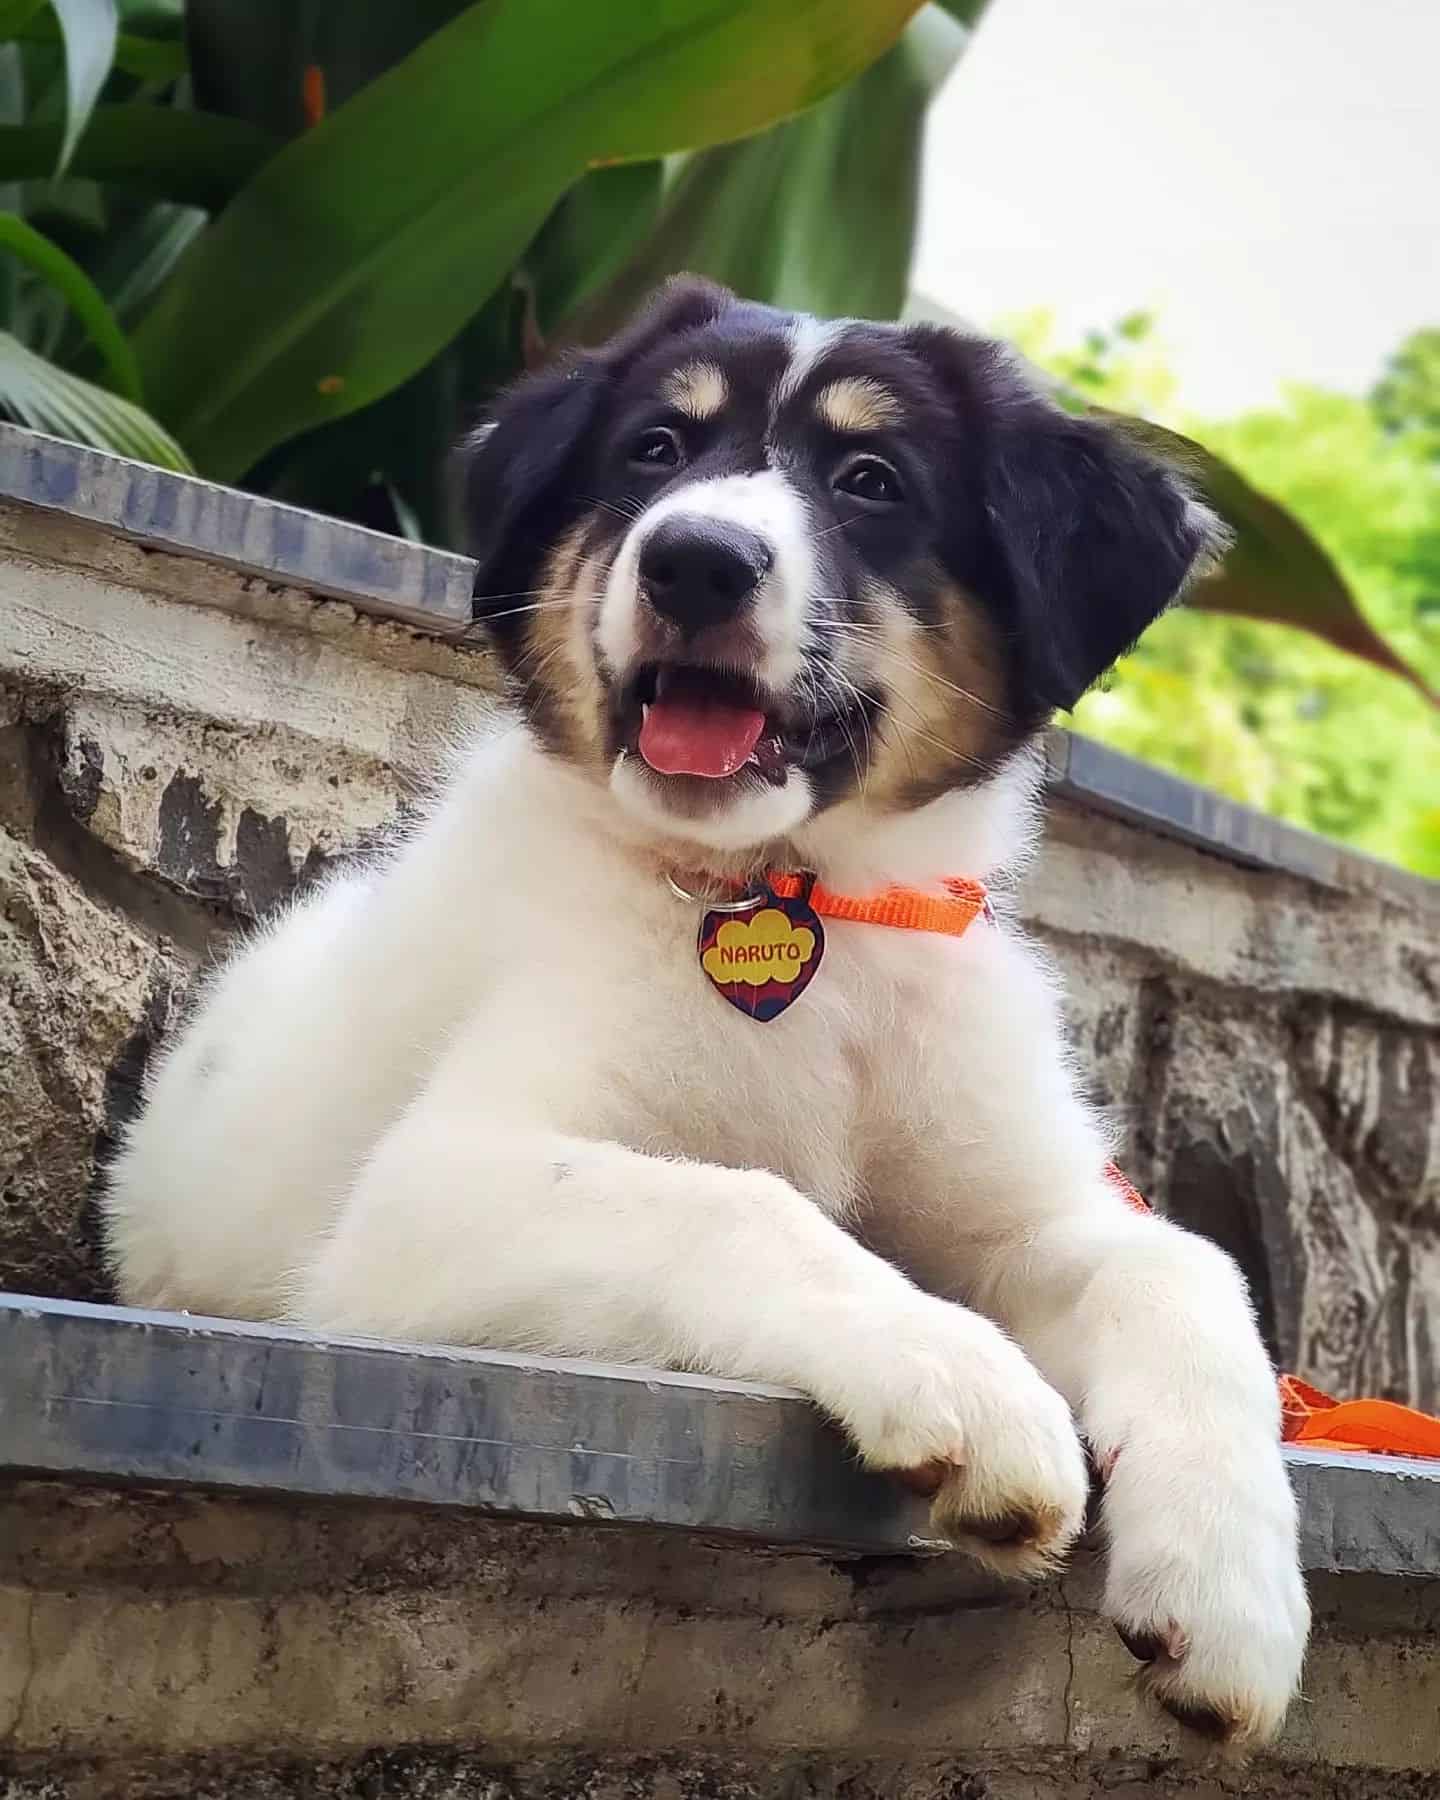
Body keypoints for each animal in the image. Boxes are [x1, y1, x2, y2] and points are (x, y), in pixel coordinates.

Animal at [107, 277, 1310, 1742]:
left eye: (870, 479)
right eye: (655, 453)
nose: (694, 560)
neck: (793, 901)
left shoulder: (1031, 1211)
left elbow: (1184, 1271)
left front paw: (1233, 1587)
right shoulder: (417, 1199)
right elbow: (741, 1200)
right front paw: (962, 1376)